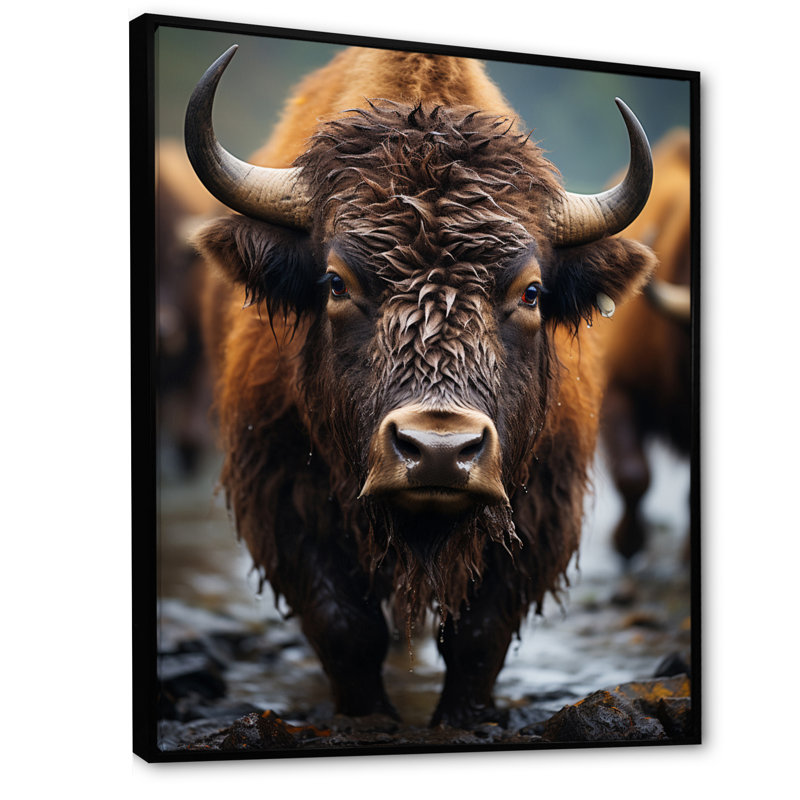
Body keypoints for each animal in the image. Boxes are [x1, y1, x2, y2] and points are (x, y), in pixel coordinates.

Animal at [184, 45, 657, 727]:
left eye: (532, 292)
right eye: (335, 282)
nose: (438, 450)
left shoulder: (540, 511)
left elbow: (477, 636)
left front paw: (463, 719)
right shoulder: (282, 503)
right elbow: (347, 629)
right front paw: (371, 719)